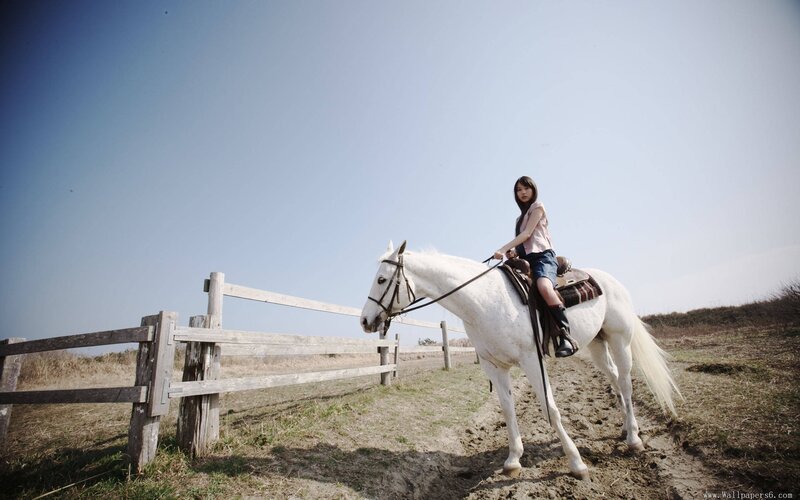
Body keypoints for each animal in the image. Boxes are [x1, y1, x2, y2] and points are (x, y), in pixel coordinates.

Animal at [360, 241, 681, 480]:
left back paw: (634, 439)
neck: (484, 300)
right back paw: (625, 428)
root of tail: (613, 282)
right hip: (597, 345)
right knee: (614, 379)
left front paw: (577, 464)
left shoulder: (531, 360)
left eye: (381, 279)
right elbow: (508, 410)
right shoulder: (494, 366)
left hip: (619, 339)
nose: (365, 320)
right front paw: (513, 460)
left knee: (626, 383)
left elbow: (551, 410)